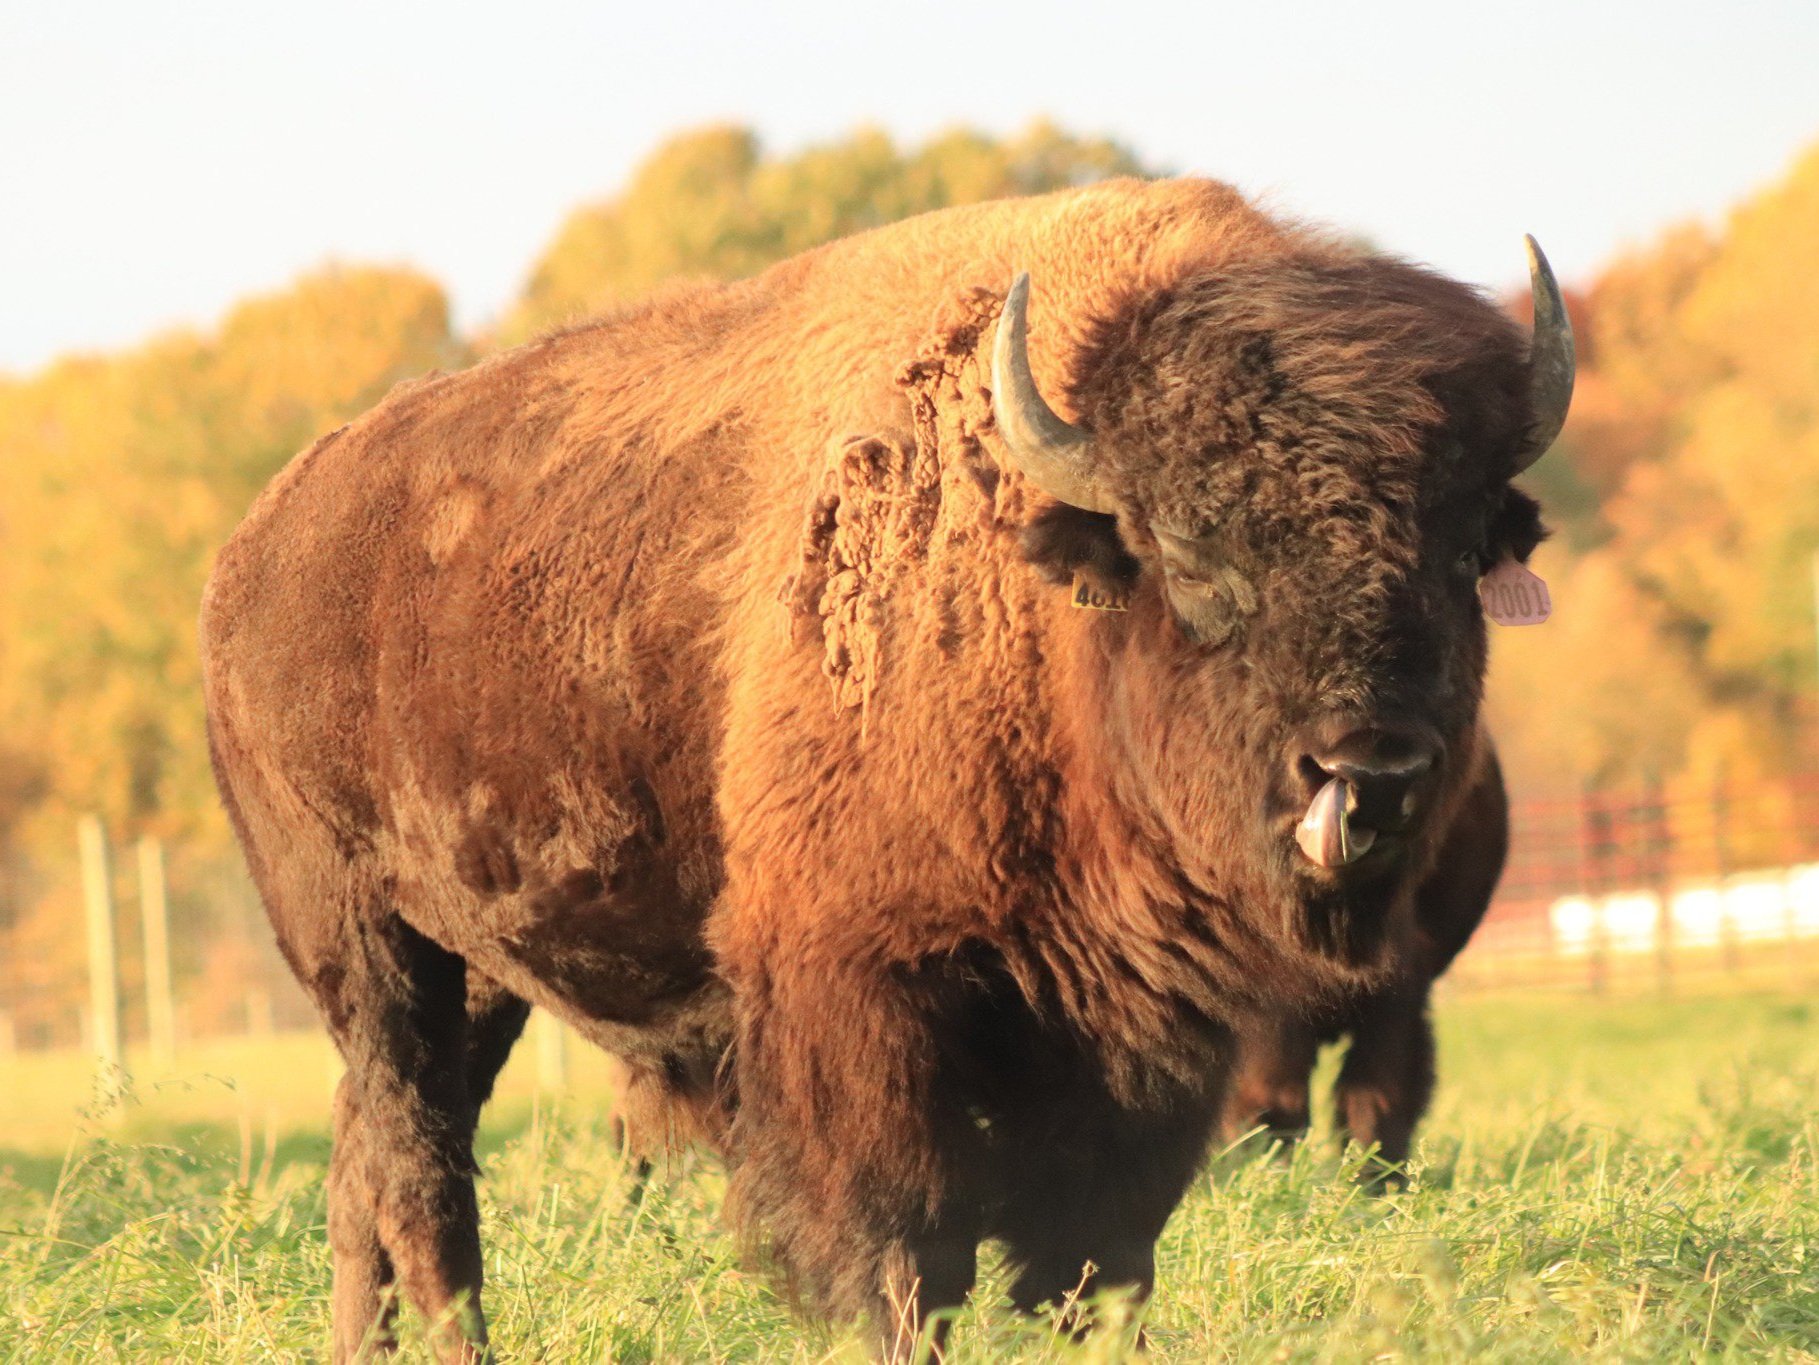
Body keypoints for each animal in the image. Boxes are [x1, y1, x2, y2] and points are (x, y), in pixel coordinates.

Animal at [200, 177, 1569, 1359]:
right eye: (1191, 552)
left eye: (1462, 551)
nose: (1367, 767)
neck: (1040, 598)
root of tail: (260, 540)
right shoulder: (860, 998)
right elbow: (912, 1252)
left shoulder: (1145, 1048)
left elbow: (1097, 1263)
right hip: (366, 945)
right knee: (418, 1171)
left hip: (478, 964)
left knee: (366, 1166)